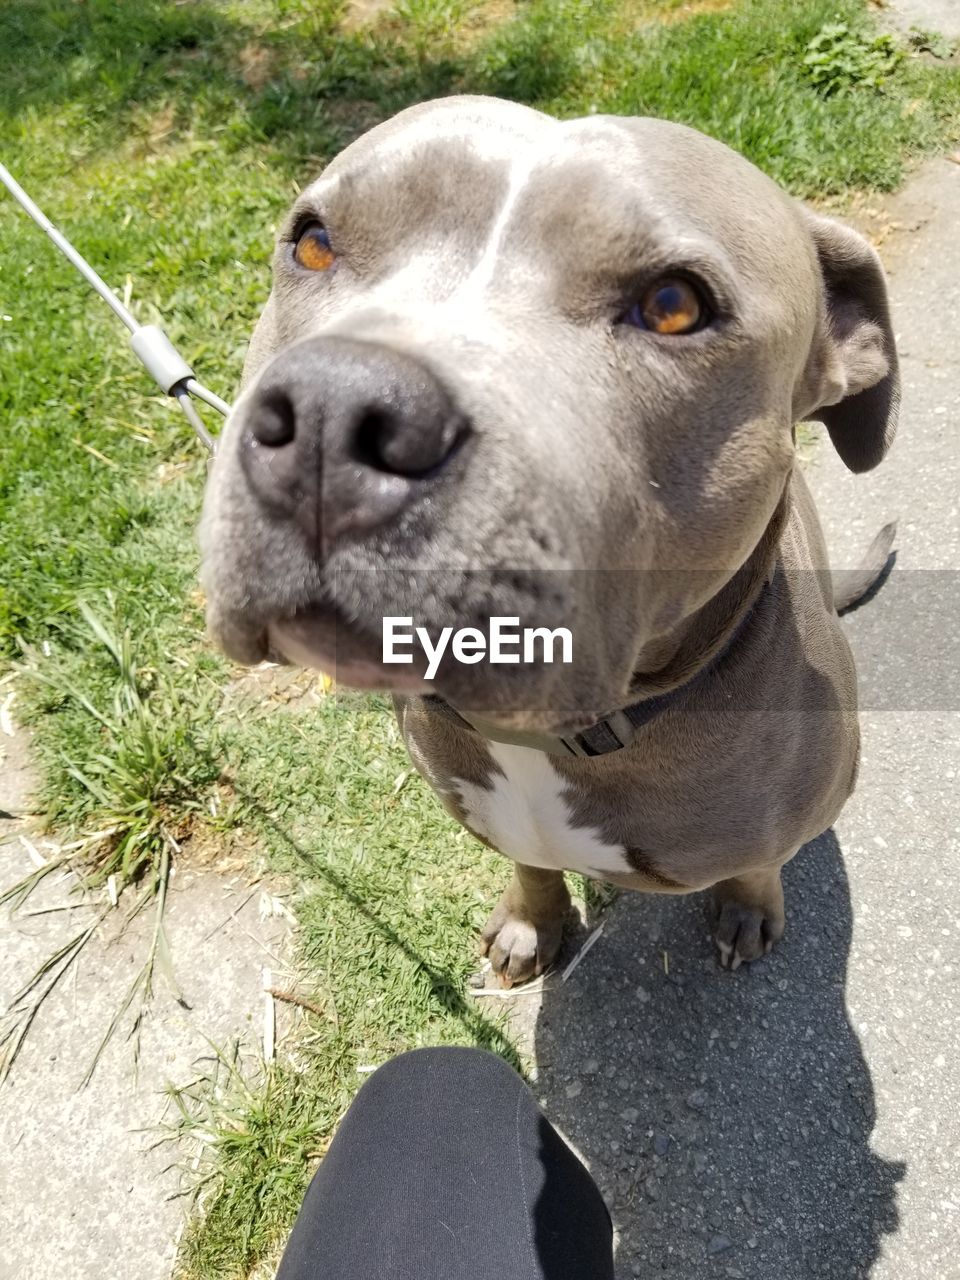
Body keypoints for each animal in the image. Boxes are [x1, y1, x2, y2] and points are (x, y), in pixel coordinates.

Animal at [200, 94, 901, 983]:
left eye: (674, 304)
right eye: (313, 241)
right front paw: (532, 923)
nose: (334, 410)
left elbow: (757, 863)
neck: (554, 737)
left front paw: (747, 906)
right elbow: (531, 864)